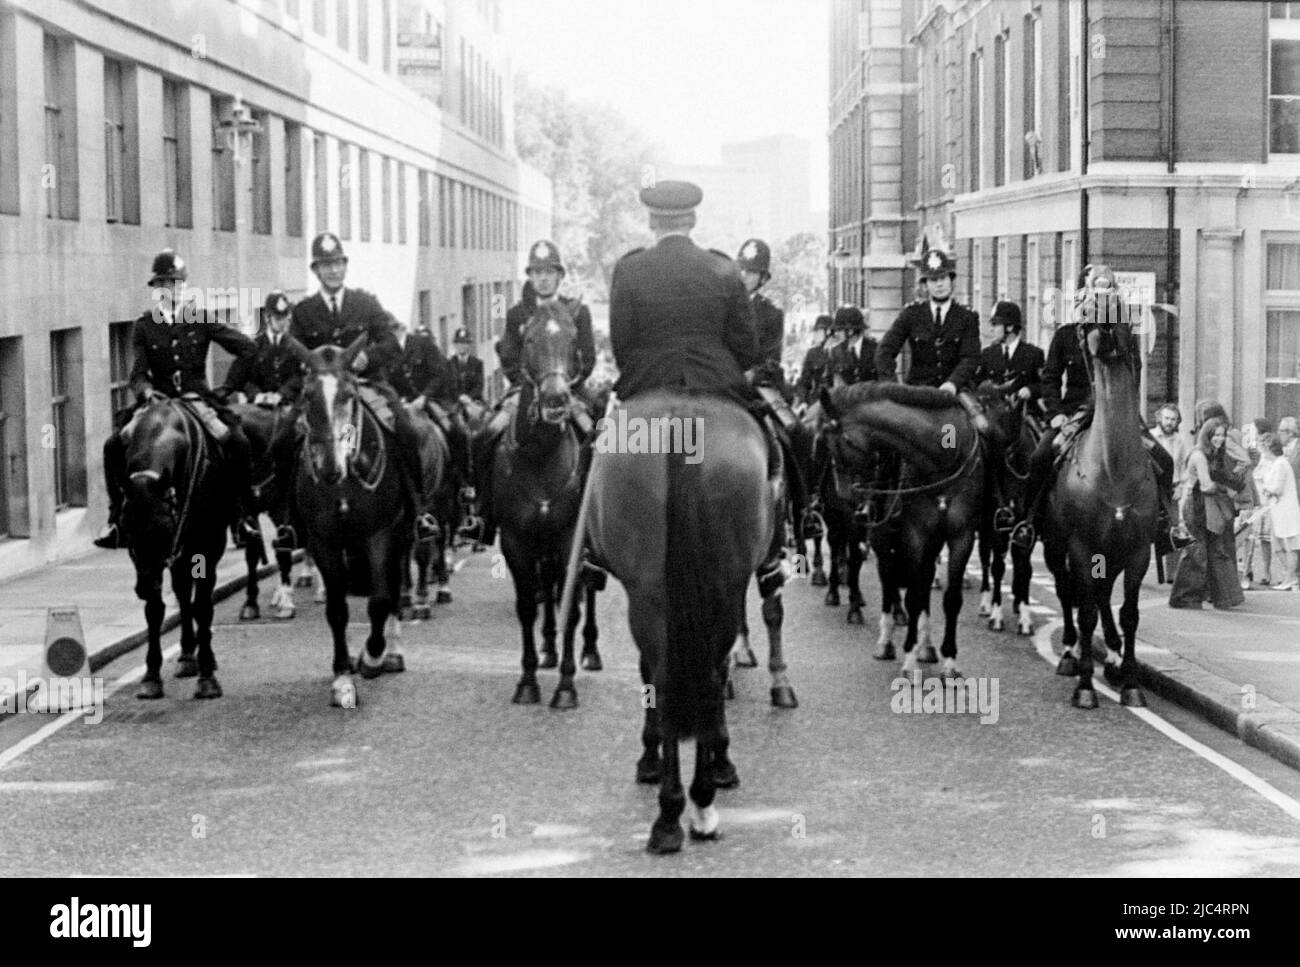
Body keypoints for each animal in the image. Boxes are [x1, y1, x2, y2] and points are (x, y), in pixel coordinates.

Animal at [119, 397, 236, 696]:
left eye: (164, 528)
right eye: (126, 529)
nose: (143, 587)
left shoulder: (207, 545)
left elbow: (203, 606)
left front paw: (207, 677)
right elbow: (155, 610)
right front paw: (151, 676)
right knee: (182, 593)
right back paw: (185, 656)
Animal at [289, 335, 410, 707]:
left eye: (349, 395)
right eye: (306, 395)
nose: (330, 467)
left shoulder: (380, 534)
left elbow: (380, 601)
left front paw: (372, 657)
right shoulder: (323, 542)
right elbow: (337, 610)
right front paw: (342, 676)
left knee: (395, 589)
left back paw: (391, 654)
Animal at [590, 389, 780, 847]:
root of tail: (683, 419)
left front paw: (652, 756)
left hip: (655, 592)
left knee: (671, 678)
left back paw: (674, 811)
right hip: (716, 586)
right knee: (702, 677)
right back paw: (696, 802)